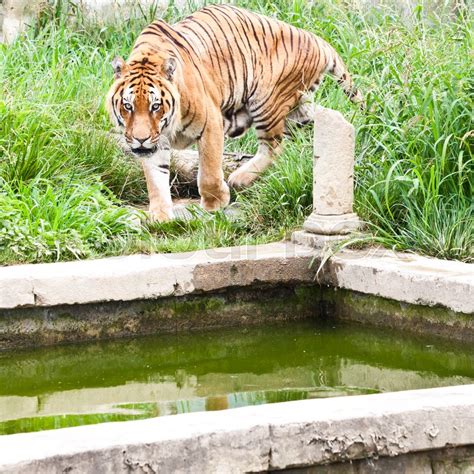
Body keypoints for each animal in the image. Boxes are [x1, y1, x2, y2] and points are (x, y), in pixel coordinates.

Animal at [107, 3, 362, 222]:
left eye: (155, 106)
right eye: (128, 106)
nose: (140, 139)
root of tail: (316, 39)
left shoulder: (210, 124)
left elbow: (209, 171)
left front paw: (215, 204)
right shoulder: (156, 142)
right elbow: (155, 180)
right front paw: (160, 216)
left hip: (265, 102)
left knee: (274, 147)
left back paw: (239, 178)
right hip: (297, 108)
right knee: (324, 118)